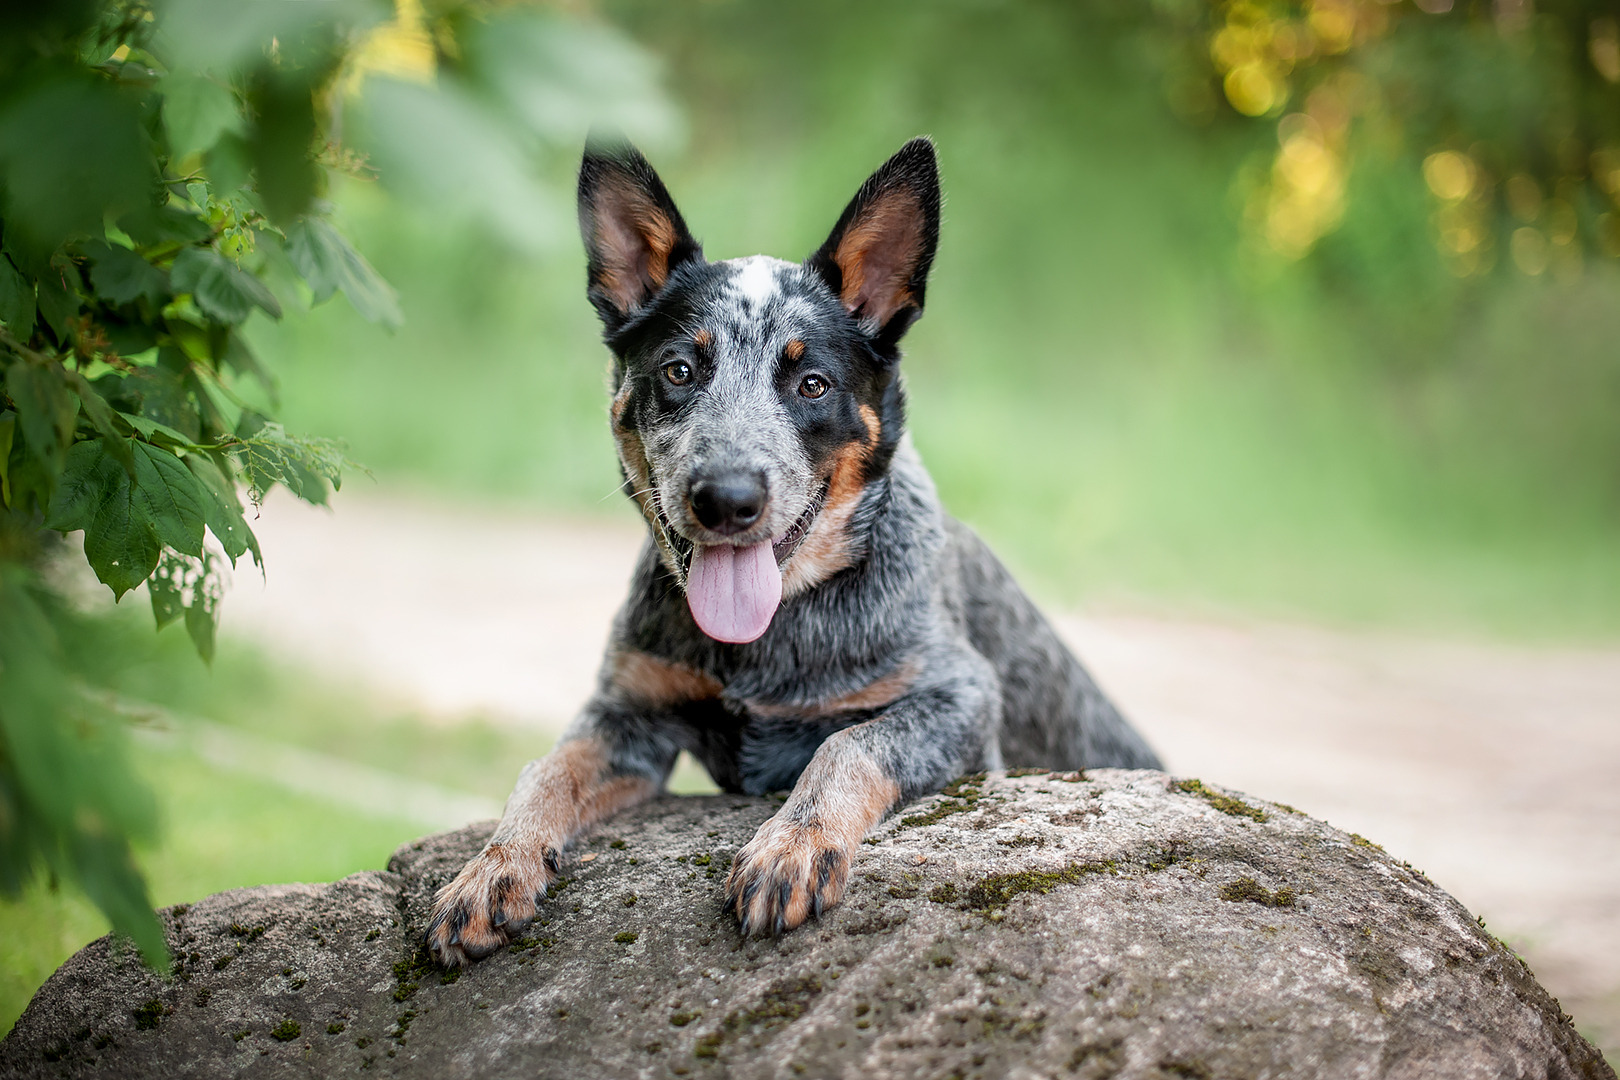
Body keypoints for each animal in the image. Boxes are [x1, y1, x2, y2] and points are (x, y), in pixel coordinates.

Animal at [427, 137, 1166, 971]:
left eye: (812, 383)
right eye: (679, 370)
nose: (727, 499)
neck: (767, 642)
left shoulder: (963, 700)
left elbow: (847, 745)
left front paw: (792, 847)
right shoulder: (628, 713)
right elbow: (543, 772)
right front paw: (493, 868)